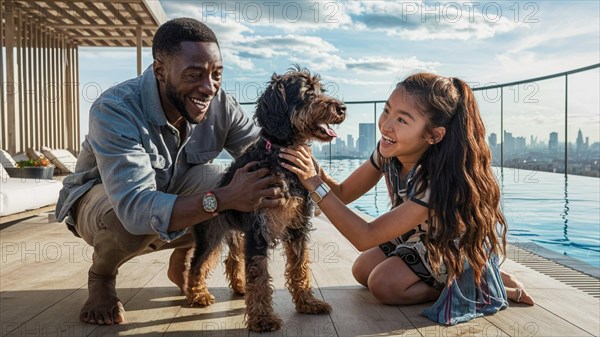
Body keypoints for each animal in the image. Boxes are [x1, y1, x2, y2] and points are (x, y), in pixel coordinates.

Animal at [188, 66, 346, 330]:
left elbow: (300, 266)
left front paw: (307, 302)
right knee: (197, 263)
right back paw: (197, 295)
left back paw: (240, 287)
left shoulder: (297, 226)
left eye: (320, 89)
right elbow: (259, 274)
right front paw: (262, 318)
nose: (342, 108)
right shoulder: (258, 229)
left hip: (236, 234)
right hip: (212, 234)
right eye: (307, 92)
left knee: (232, 260)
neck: (281, 156)